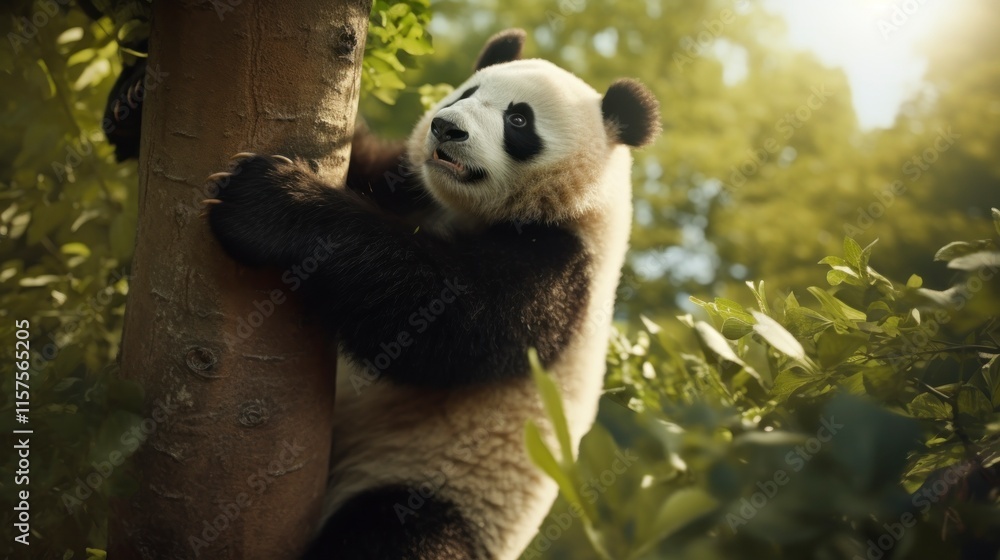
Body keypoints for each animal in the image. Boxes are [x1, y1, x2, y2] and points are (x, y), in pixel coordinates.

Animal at [206, 28, 660, 560]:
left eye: (518, 119)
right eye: (464, 94)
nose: (446, 128)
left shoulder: (562, 272)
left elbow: (439, 320)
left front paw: (266, 202)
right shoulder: (411, 188)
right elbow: (373, 168)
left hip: (437, 489)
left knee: (391, 535)